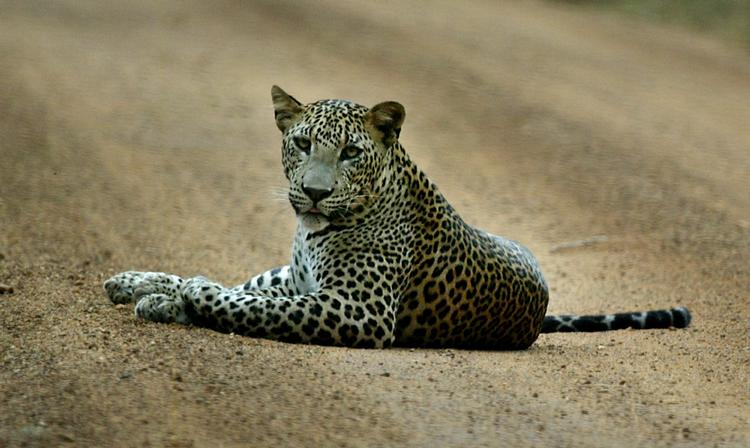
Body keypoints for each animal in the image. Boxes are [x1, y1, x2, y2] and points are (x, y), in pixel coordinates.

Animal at [103, 86, 691, 349]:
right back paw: (136, 284)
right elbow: (246, 298)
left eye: (350, 153)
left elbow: (248, 306)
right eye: (302, 143)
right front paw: (161, 290)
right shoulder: (304, 284)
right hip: (285, 273)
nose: (314, 194)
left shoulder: (357, 310)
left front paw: (191, 293)